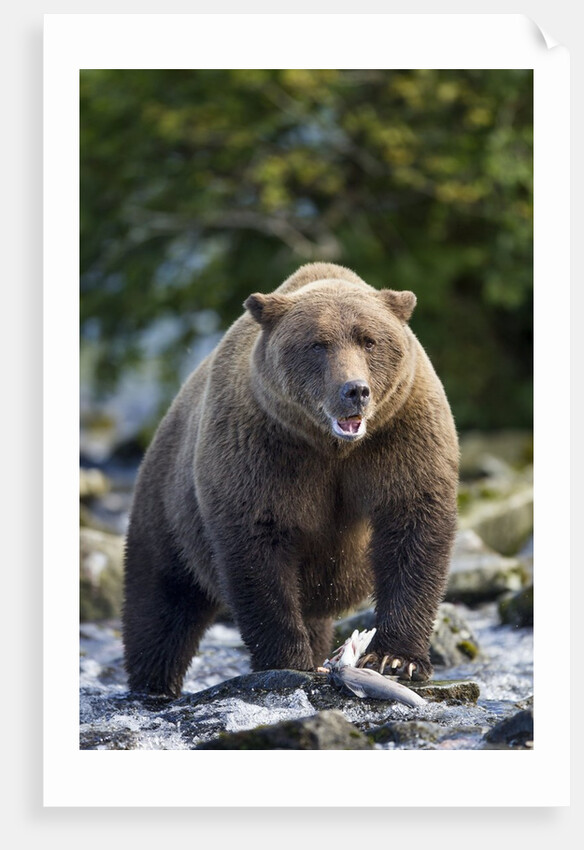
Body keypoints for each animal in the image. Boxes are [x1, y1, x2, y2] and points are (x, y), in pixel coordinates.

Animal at [122, 262, 459, 697]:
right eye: (318, 344)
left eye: (369, 340)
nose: (355, 390)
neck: (332, 446)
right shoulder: (262, 451)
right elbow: (258, 549)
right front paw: (287, 660)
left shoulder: (401, 435)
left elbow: (413, 528)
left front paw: (396, 658)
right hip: (167, 509)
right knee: (160, 605)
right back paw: (152, 683)